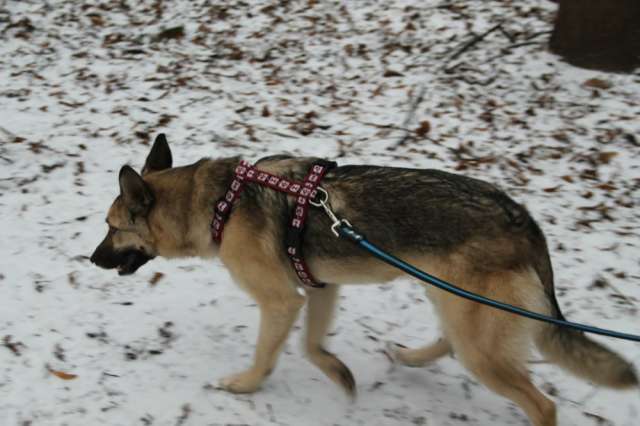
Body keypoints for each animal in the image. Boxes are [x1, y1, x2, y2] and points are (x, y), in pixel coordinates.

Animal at [90, 136, 636, 426]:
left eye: (112, 227)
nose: (91, 259)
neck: (219, 203)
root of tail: (522, 219)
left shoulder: (282, 301)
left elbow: (268, 355)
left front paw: (244, 386)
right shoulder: (318, 289)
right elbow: (312, 347)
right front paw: (341, 376)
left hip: (475, 331)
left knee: (541, 405)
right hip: (457, 305)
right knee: (450, 342)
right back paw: (408, 357)